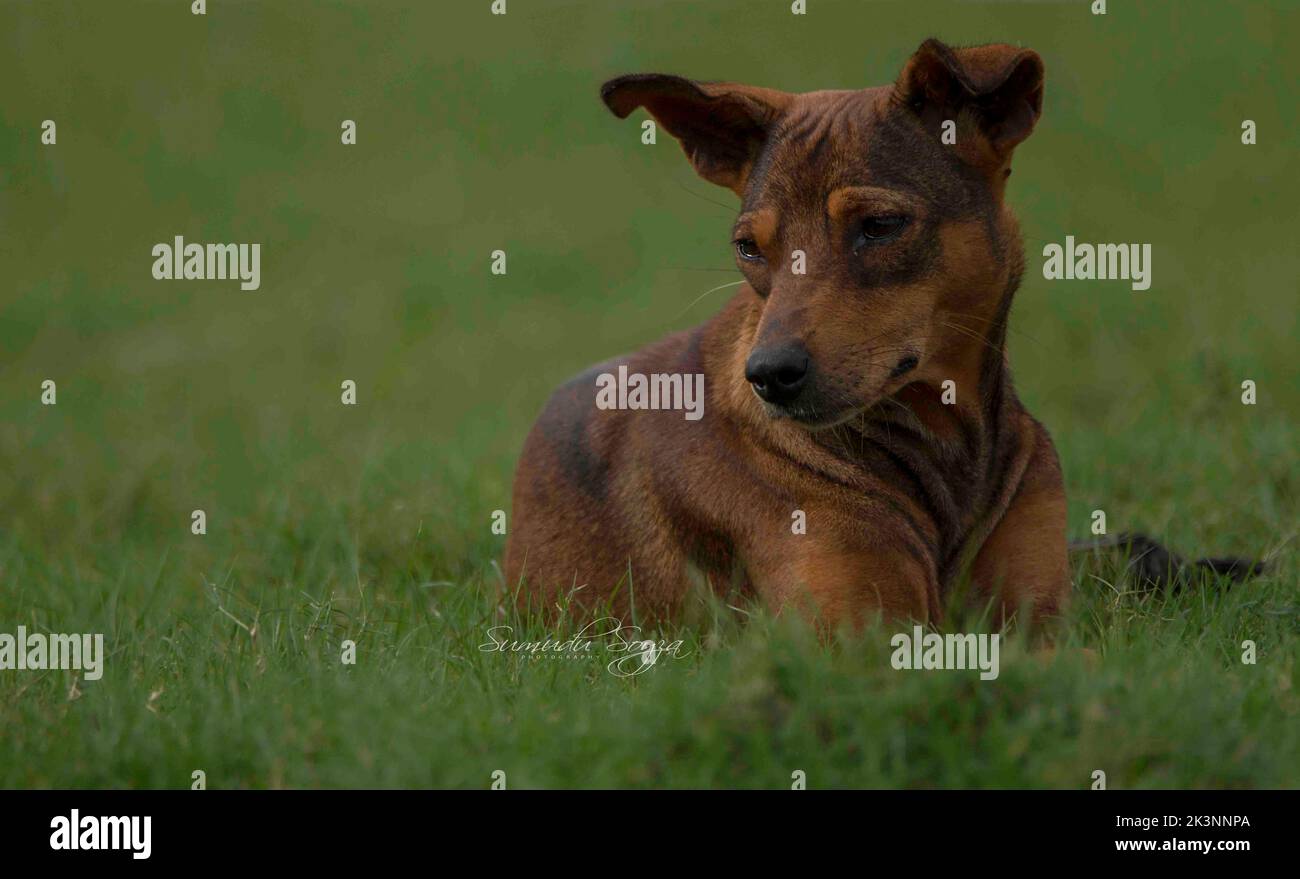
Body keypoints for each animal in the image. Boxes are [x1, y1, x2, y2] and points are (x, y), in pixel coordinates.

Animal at [501, 41, 1071, 629]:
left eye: (880, 225)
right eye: (747, 247)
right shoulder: (856, 629)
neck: (942, 445)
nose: (769, 374)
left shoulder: (1038, 617)